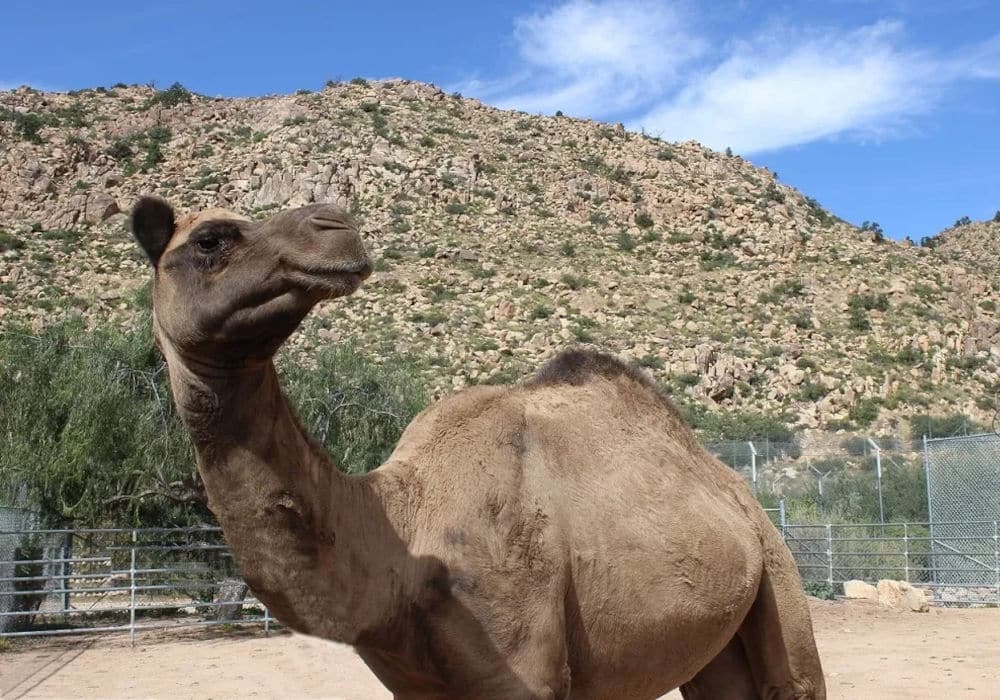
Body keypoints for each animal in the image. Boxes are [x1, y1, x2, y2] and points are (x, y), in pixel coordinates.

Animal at [129, 197, 824, 700]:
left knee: (795, 680)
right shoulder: (416, 689)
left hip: (779, 578)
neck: (402, 541)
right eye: (211, 240)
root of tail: (741, 497)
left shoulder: (523, 674)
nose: (336, 226)